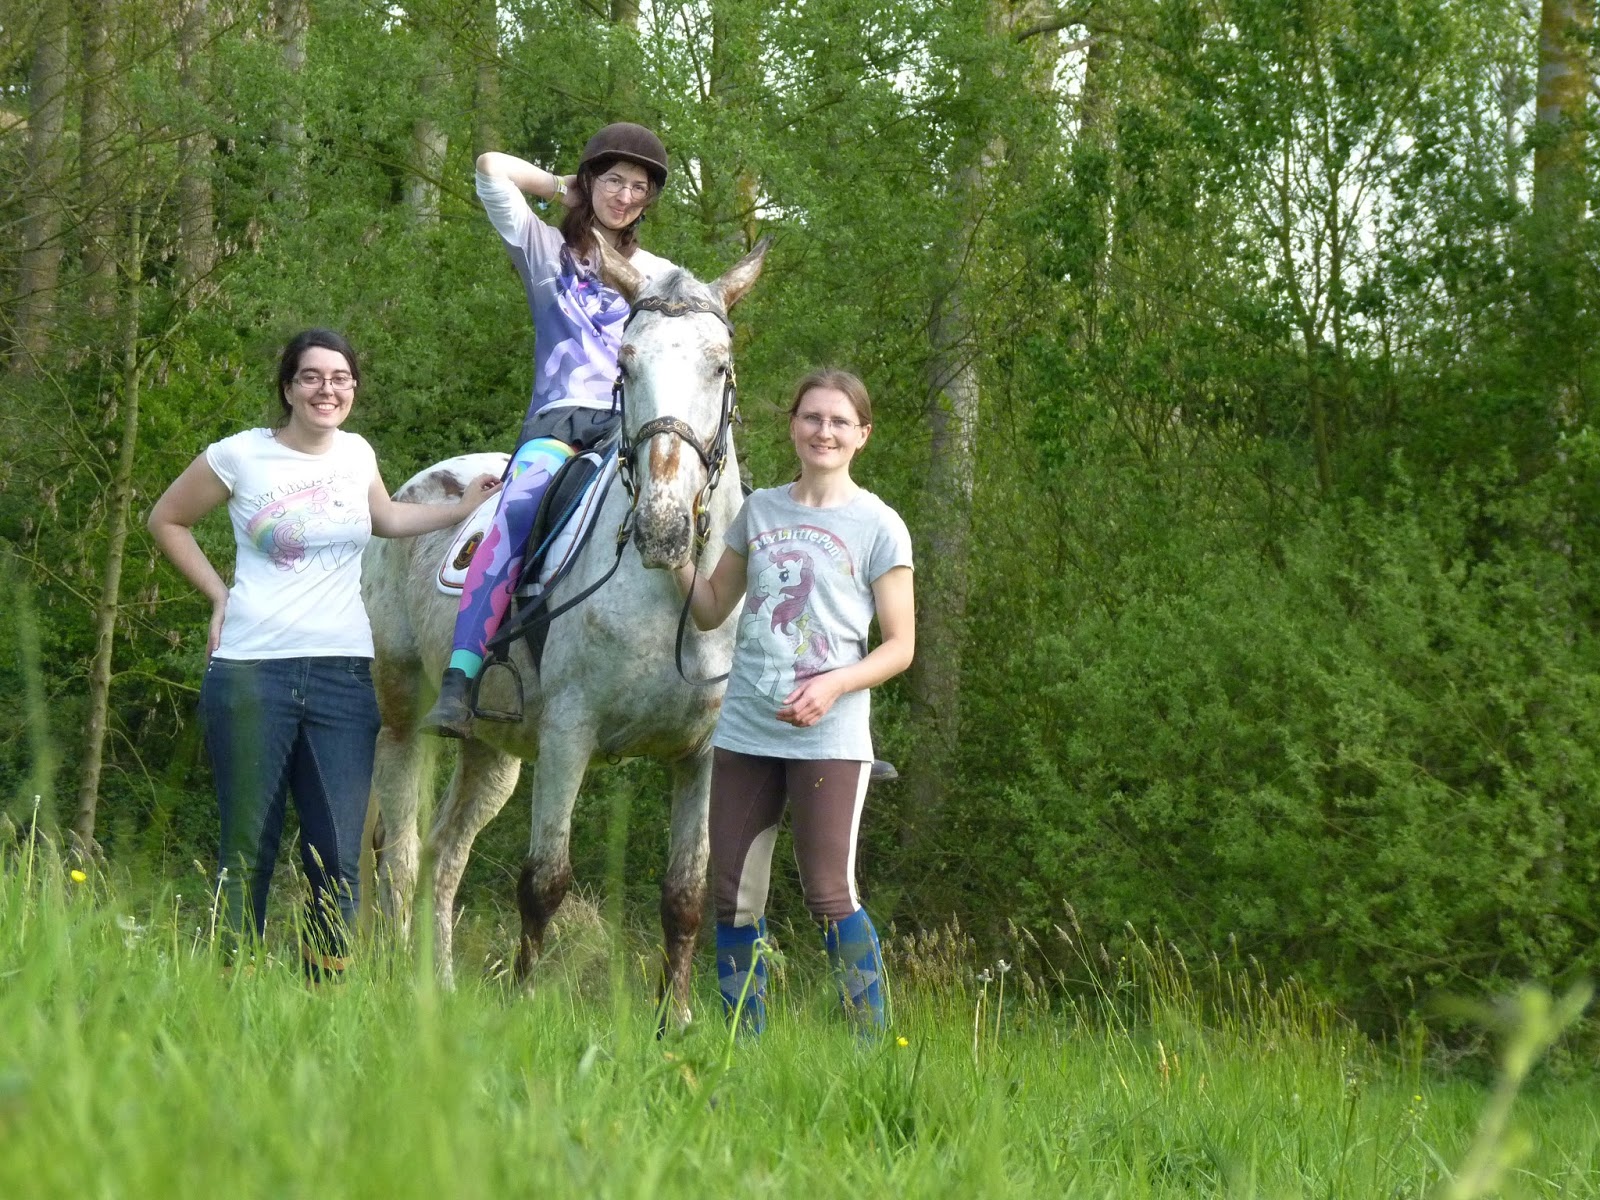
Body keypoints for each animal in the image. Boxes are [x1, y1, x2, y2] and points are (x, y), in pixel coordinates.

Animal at [363, 236, 768, 1024]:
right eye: (628, 365)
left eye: (720, 366)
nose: (664, 526)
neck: (673, 594)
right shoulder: (569, 737)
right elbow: (544, 880)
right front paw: (524, 1004)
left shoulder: (700, 758)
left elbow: (685, 895)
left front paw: (675, 1023)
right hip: (403, 706)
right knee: (399, 850)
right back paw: (397, 974)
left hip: (494, 755)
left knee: (442, 857)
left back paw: (439, 986)